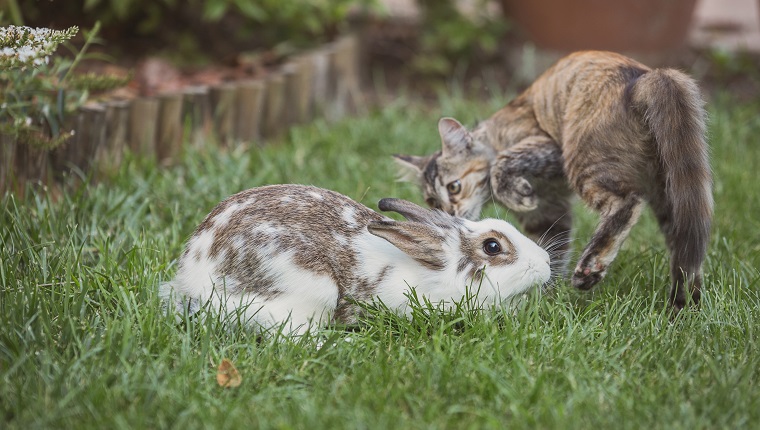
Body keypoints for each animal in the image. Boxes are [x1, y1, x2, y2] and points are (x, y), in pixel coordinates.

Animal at [398, 50, 712, 310]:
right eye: (431, 201)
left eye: (454, 187)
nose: (447, 213)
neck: (493, 134)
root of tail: (644, 78)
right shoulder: (549, 214)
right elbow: (553, 249)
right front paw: (547, 294)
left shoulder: (547, 148)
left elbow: (500, 167)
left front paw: (519, 194)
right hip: (670, 190)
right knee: (686, 248)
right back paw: (684, 303)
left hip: (581, 158)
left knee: (628, 202)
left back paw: (591, 268)